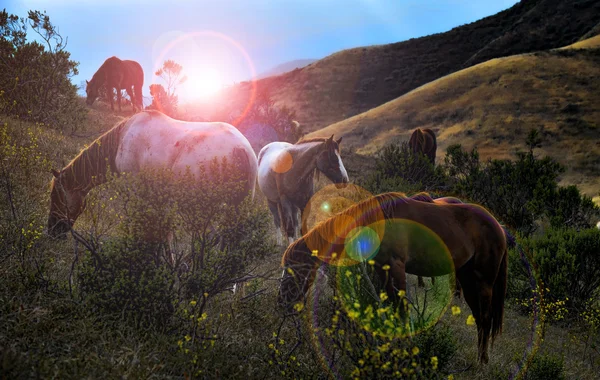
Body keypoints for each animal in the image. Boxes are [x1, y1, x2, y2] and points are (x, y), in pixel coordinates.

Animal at [278, 193, 508, 366]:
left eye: (293, 270)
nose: (282, 303)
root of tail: (498, 226)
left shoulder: (396, 269)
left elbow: (402, 311)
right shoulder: (382, 271)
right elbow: (388, 310)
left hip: (484, 282)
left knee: (485, 317)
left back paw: (482, 361)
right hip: (467, 280)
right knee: (479, 319)